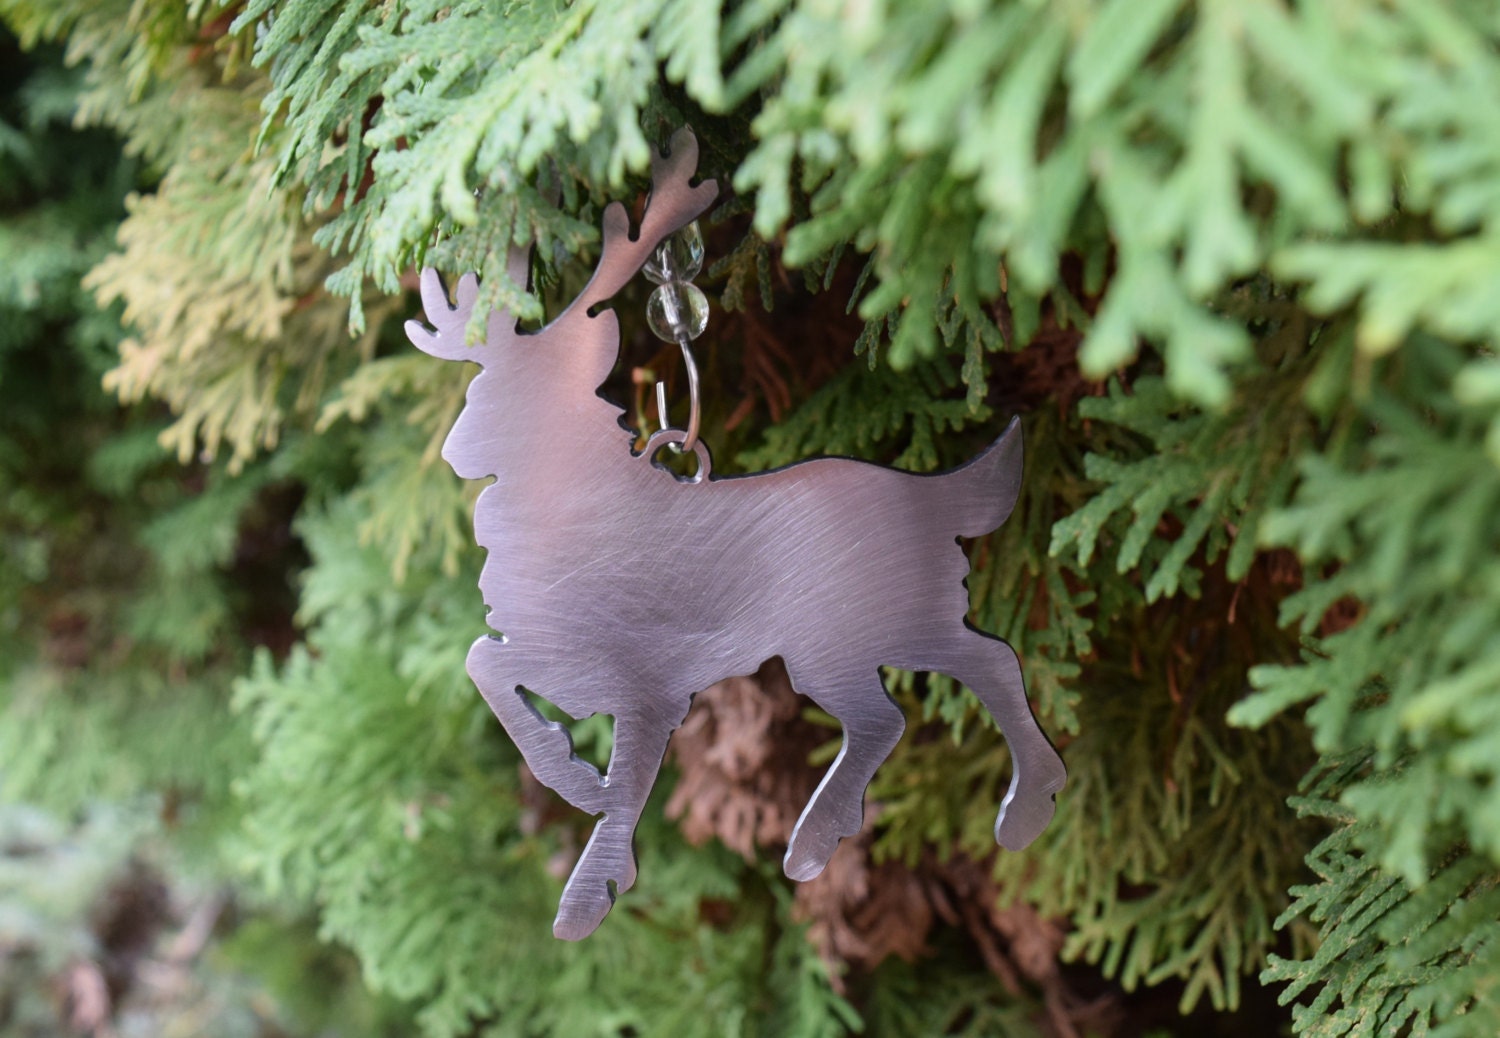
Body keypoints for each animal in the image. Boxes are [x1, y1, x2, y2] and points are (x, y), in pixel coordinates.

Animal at [406, 129, 1067, 940]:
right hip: (877, 631)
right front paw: (581, 793)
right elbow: (484, 664)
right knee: (941, 687)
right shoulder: (563, 656)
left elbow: (623, 781)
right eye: (476, 387)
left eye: (506, 395)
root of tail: (933, 497)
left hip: (850, 631)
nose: (454, 451)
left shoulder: (648, 680)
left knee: (941, 688)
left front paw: (589, 884)